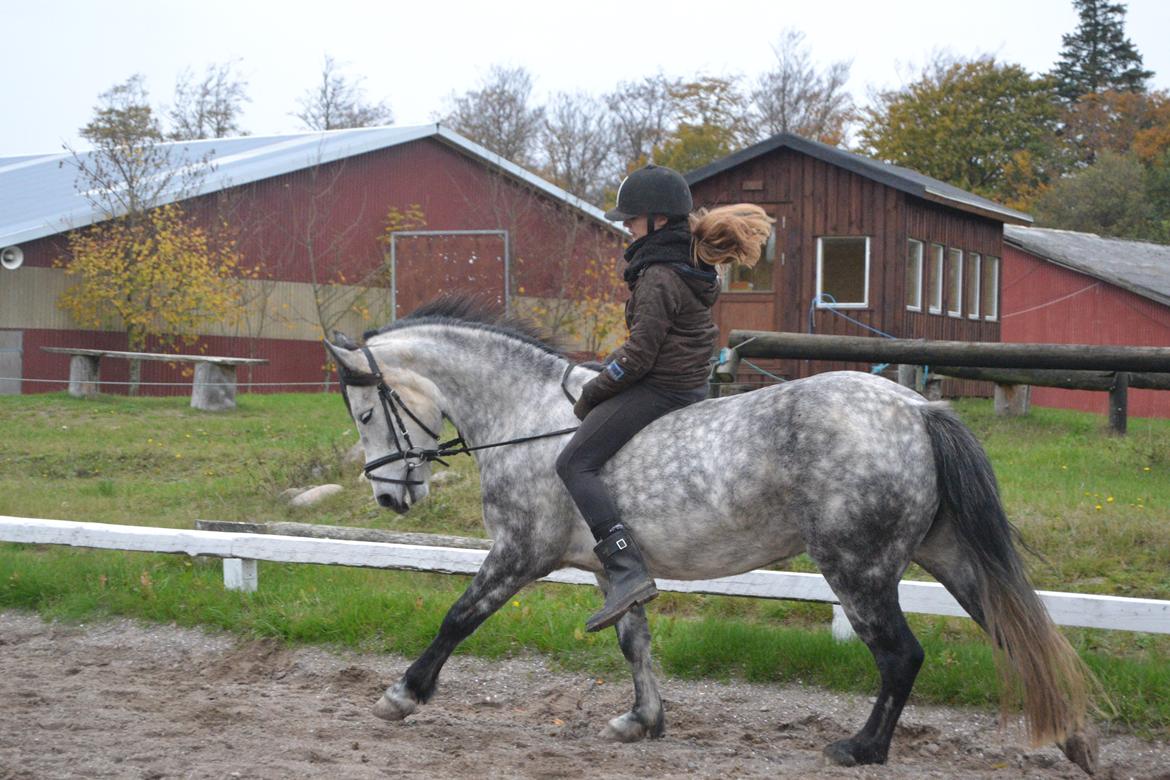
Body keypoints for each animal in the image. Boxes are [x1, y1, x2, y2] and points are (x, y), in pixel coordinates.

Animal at [327, 294, 1095, 776]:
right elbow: (634, 640)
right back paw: (1074, 740)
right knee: (1014, 631)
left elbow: (459, 617)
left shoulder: (521, 553)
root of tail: (918, 408)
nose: (390, 497)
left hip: (857, 564)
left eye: (365, 412)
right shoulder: (612, 570)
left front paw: (402, 695)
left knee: (901, 655)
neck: (528, 417)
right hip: (945, 552)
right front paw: (642, 721)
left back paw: (861, 749)